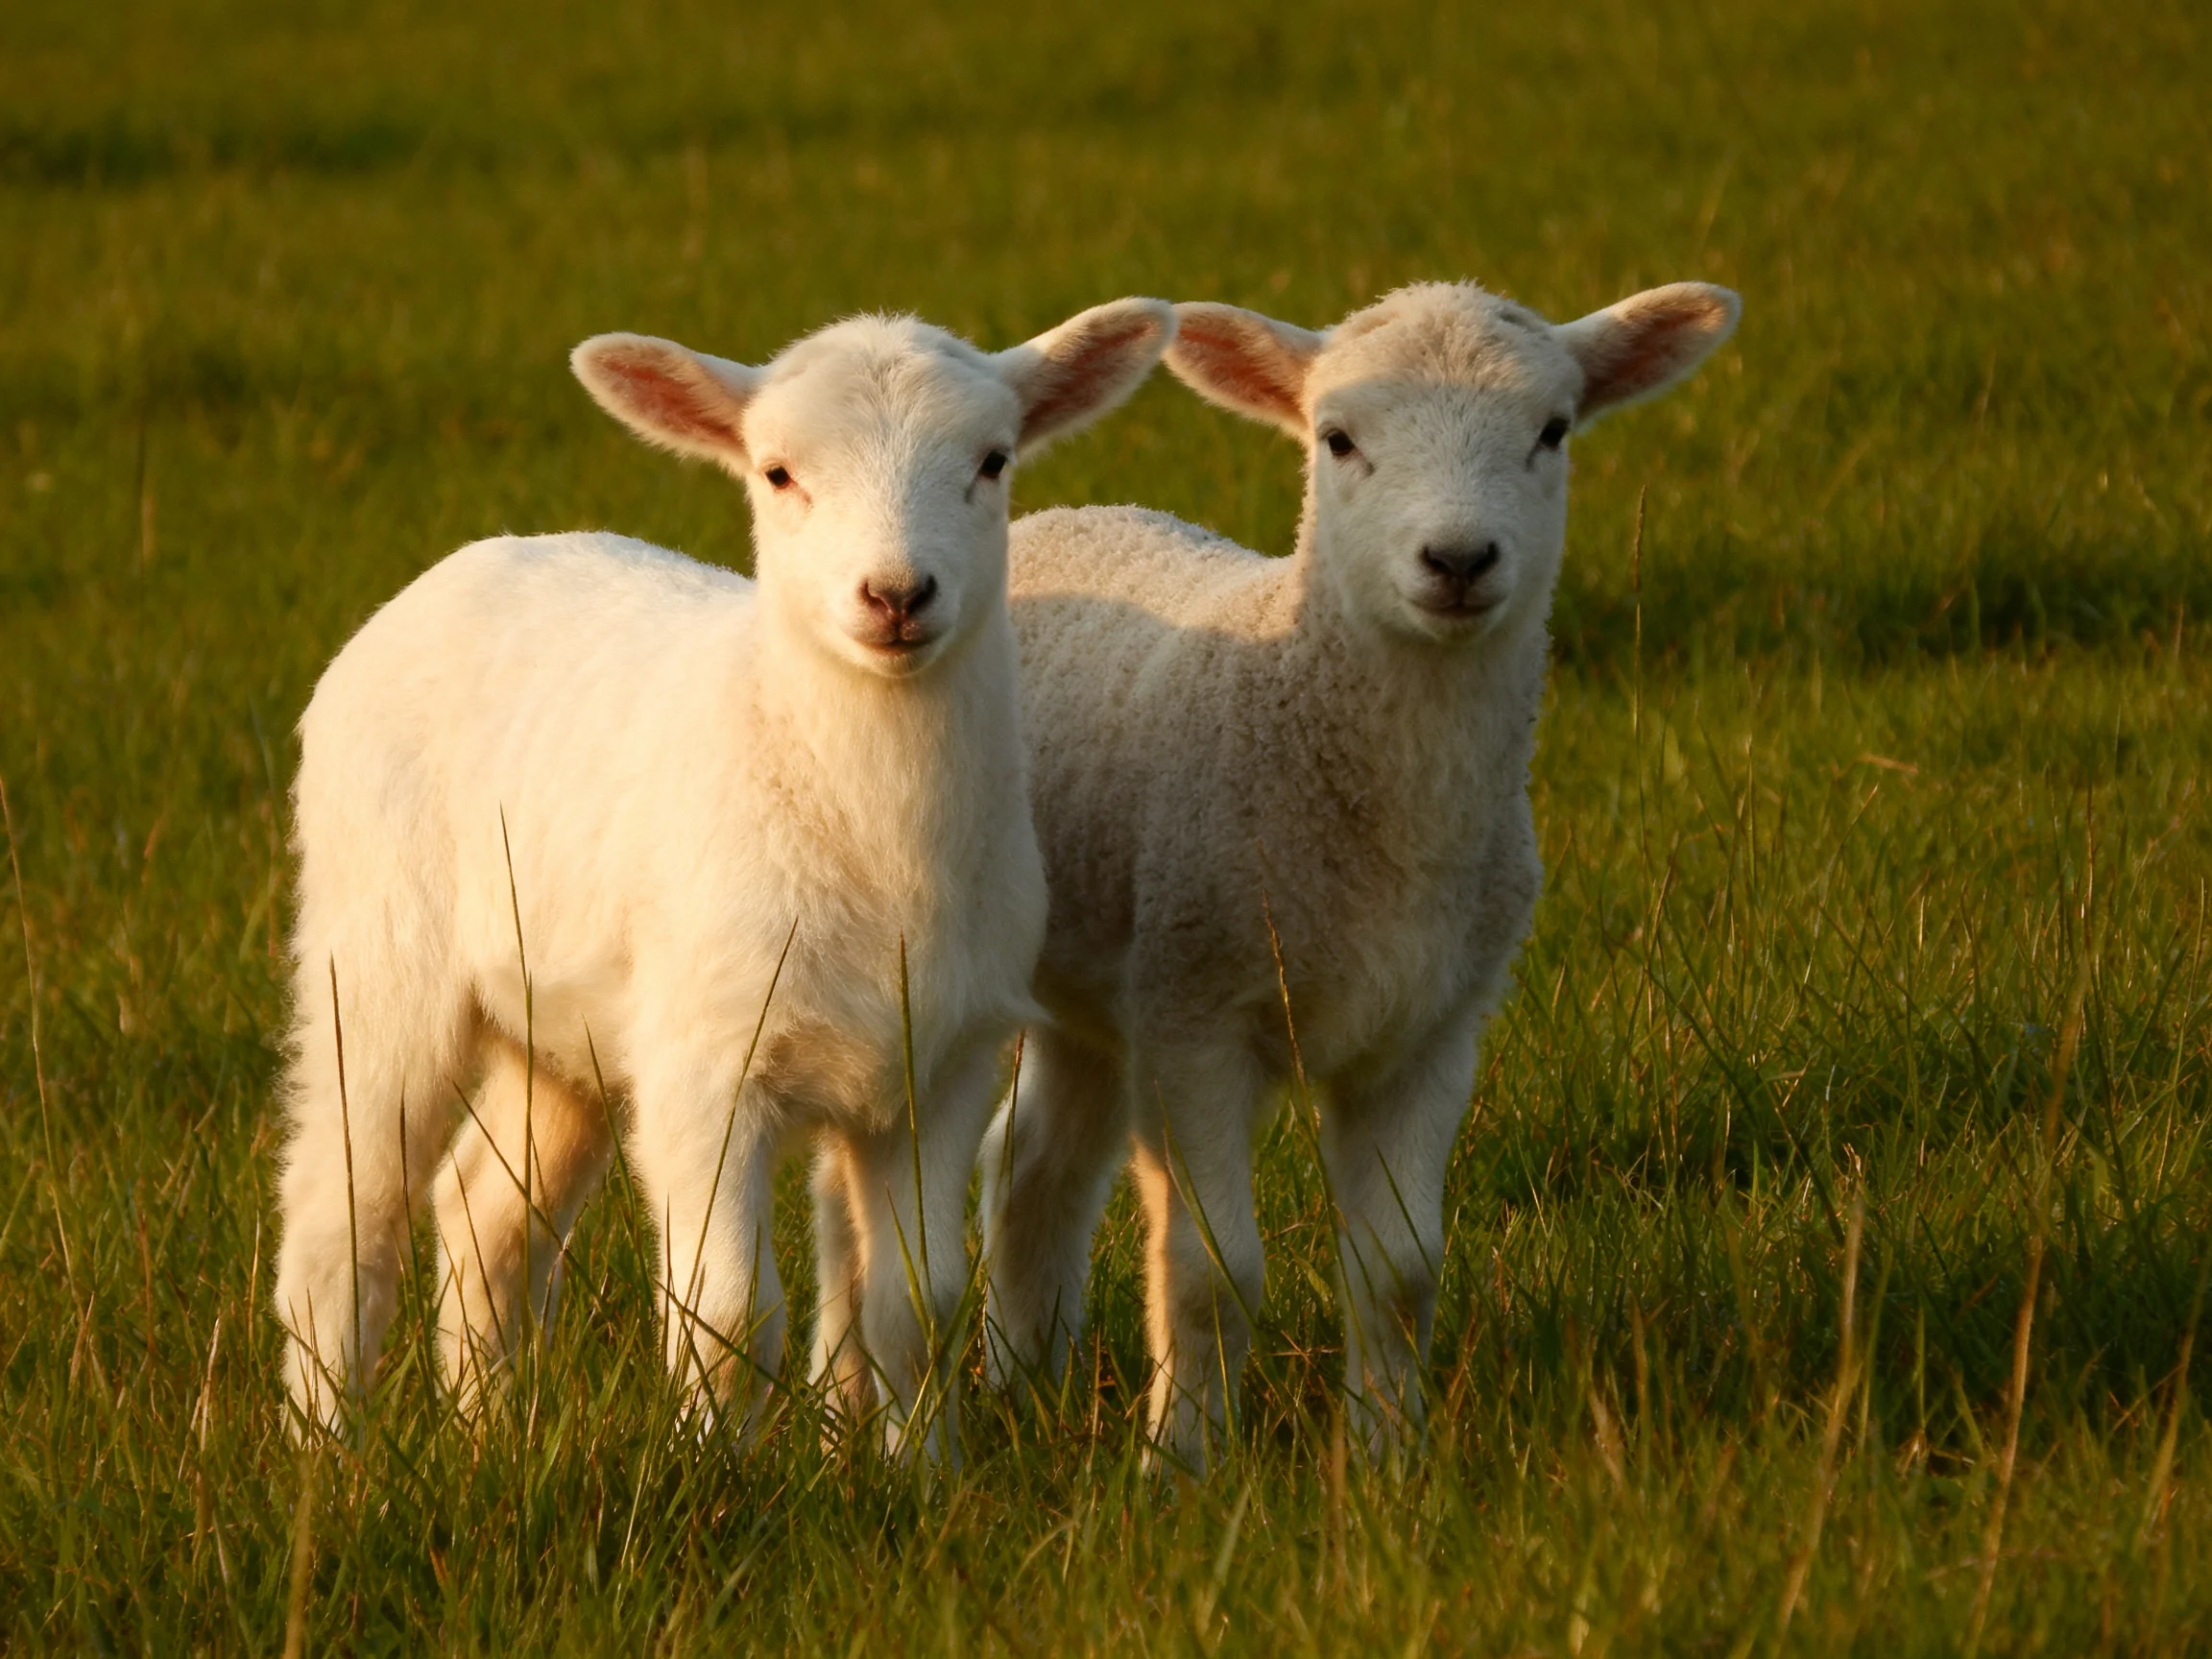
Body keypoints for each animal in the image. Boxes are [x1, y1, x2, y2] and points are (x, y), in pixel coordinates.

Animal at [273, 298, 1177, 1459]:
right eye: (778, 473)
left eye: (993, 461)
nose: (896, 595)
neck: (874, 840)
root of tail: (463, 563)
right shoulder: (709, 1062)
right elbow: (730, 1309)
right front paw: (717, 1470)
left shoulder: (941, 1063)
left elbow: (914, 1302)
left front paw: (921, 1471)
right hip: (378, 944)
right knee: (341, 1209)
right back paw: (323, 1450)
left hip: (568, 1027)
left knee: (483, 1211)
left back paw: (488, 1432)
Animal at [979, 279, 1739, 1469]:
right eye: (1336, 440)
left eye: (1553, 432)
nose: (1460, 560)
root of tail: (1068, 516)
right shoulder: (1196, 1011)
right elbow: (1210, 1272)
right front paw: (1184, 1465)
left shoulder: (1431, 1028)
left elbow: (1400, 1271)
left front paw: (1390, 1462)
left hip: (1100, 986)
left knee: (1036, 1163)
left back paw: (1024, 1382)